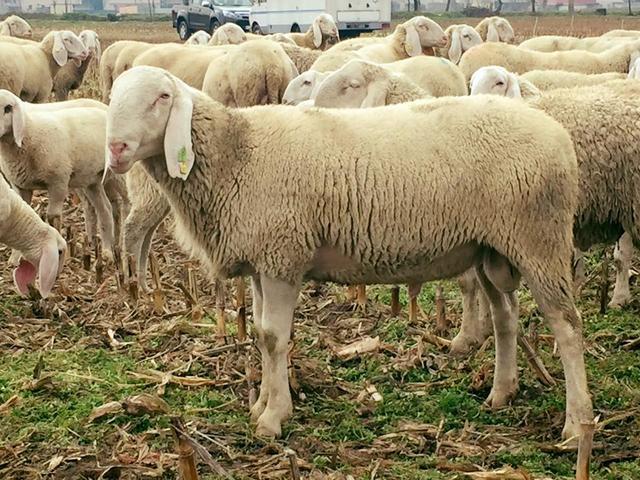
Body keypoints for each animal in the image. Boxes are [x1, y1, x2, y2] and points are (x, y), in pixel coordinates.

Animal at [0, 90, 115, 257]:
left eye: (8, 108)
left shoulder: (58, 181)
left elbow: (53, 217)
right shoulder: (20, 186)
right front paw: (15, 258)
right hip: (91, 179)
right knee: (104, 209)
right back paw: (106, 251)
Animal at [106, 65, 593, 442]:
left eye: (162, 97)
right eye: (112, 97)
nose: (116, 148)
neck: (237, 152)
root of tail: (558, 135)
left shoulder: (283, 255)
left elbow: (274, 337)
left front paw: (273, 418)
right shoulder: (265, 260)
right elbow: (261, 334)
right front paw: (262, 402)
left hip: (539, 239)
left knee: (567, 327)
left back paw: (576, 424)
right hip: (491, 247)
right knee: (505, 316)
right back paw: (501, 393)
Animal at [452, 67, 640, 357]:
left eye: (499, 83)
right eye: (470, 83)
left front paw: (471, 333)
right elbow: (474, 283)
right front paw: (475, 332)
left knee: (623, 254)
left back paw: (619, 297)